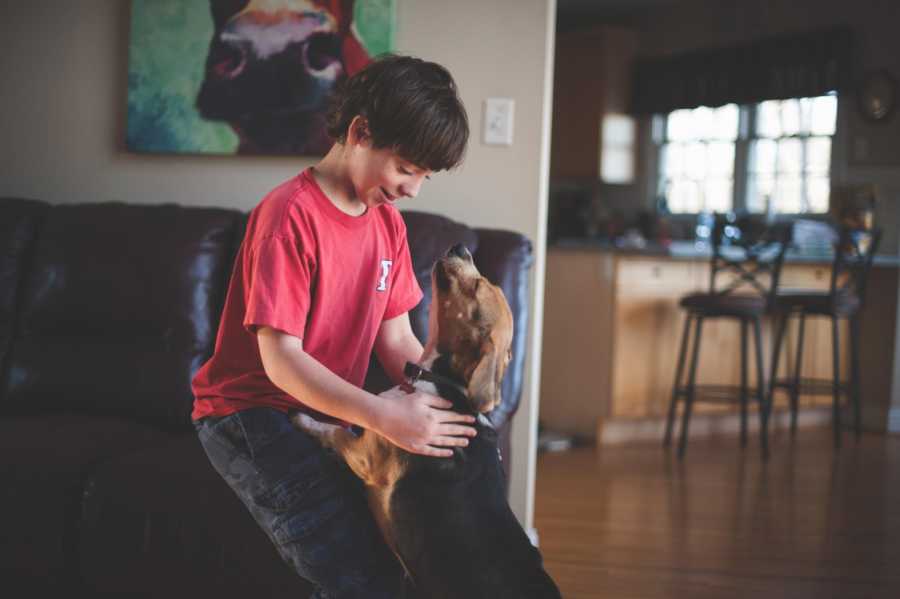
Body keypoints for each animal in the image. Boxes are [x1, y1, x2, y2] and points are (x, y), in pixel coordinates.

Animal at [292, 244, 560, 599]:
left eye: (477, 287)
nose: (461, 248)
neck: (442, 380)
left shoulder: (367, 457)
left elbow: (335, 430)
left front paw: (304, 419)